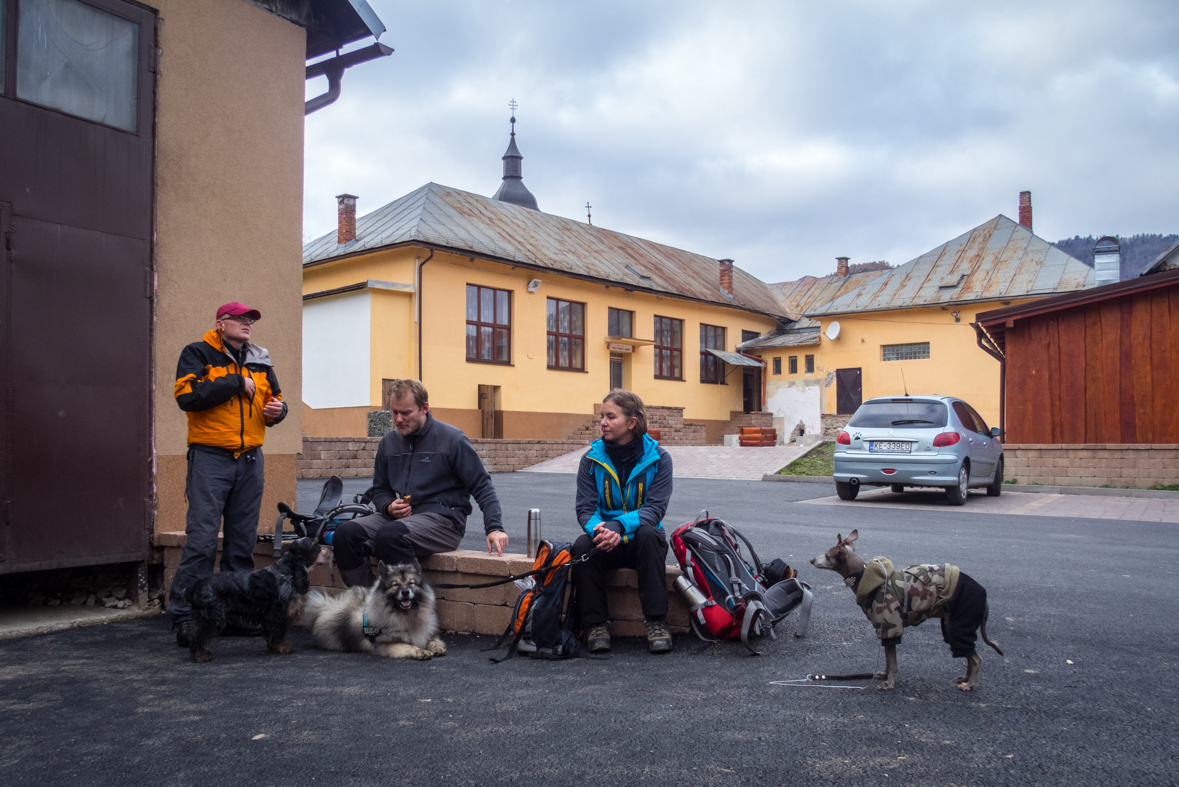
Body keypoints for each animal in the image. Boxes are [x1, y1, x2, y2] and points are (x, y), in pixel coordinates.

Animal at [181, 537, 318, 659]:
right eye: (314, 545)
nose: (320, 546)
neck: (287, 569)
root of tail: (197, 585)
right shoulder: (280, 613)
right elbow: (279, 634)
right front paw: (283, 648)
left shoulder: (269, 615)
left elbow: (271, 633)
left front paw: (272, 646)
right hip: (211, 616)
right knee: (198, 636)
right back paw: (200, 656)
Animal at [304, 556, 445, 659]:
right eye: (395, 585)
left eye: (411, 583)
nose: (405, 592)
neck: (406, 614)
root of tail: (325, 607)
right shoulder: (385, 644)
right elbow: (407, 646)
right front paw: (421, 652)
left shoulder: (427, 634)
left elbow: (433, 640)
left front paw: (437, 647)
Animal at [815, 527, 999, 688]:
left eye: (827, 555)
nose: (811, 560)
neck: (864, 577)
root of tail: (984, 596)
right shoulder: (884, 630)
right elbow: (888, 659)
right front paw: (885, 674)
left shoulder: (891, 627)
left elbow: (893, 662)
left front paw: (889, 683)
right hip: (950, 626)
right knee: (970, 656)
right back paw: (966, 678)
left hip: (959, 627)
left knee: (976, 659)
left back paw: (970, 684)